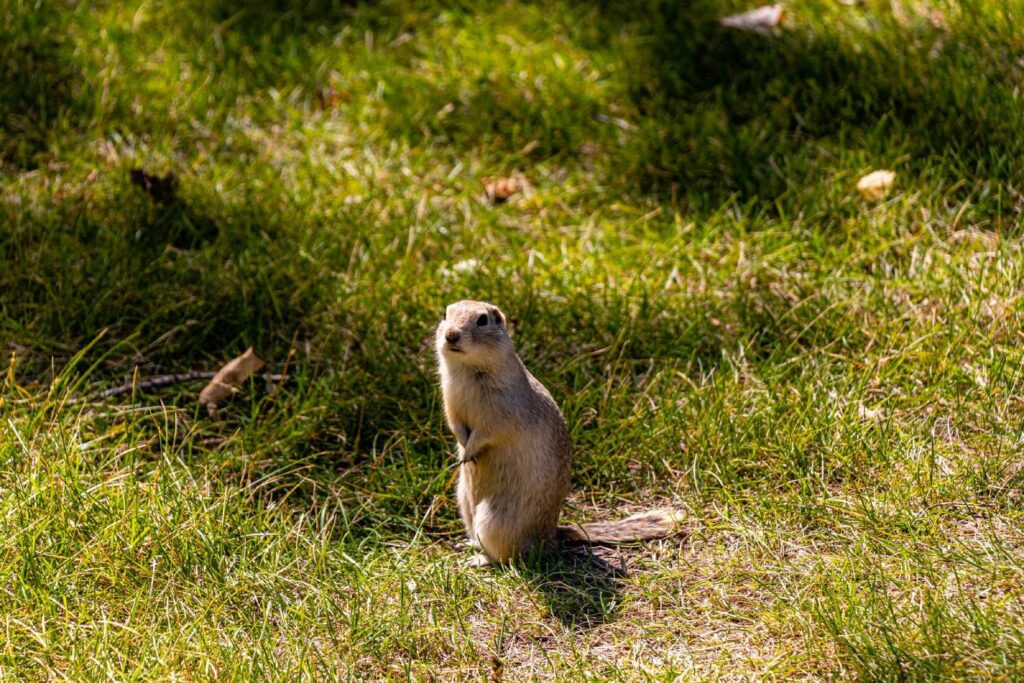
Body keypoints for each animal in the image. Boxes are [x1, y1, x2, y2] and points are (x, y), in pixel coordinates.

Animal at [436, 299, 684, 565]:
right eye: (445, 314)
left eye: (482, 320)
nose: (451, 335)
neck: (468, 370)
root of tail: (550, 537)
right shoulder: (451, 404)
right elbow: (456, 426)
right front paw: (463, 451)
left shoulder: (501, 413)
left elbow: (487, 433)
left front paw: (469, 452)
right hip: (464, 501)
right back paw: (468, 544)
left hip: (494, 519)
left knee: (507, 556)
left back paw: (480, 559)